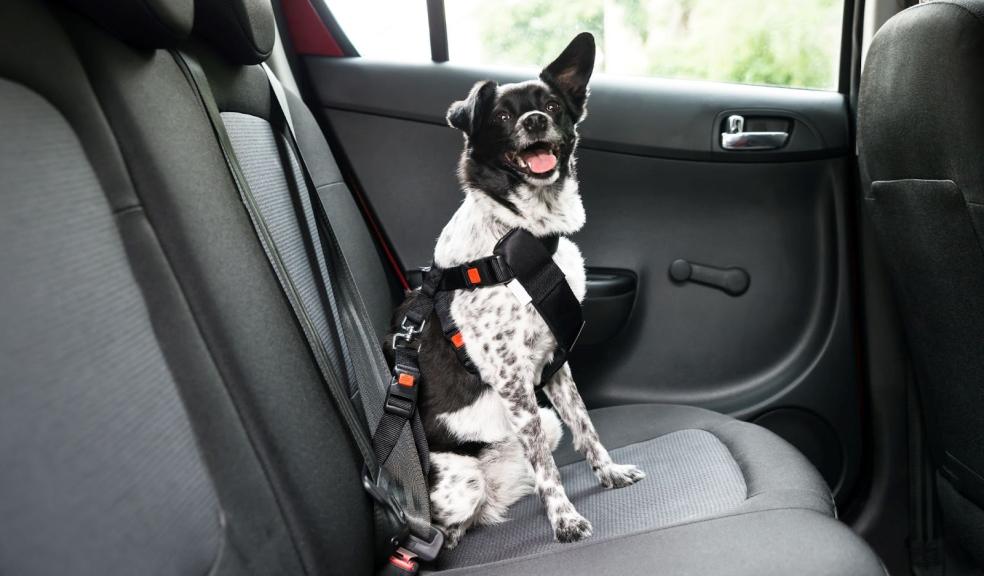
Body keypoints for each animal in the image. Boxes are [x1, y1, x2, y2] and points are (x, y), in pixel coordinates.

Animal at [384, 32, 644, 548]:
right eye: (502, 117)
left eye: (552, 105)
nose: (535, 120)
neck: (521, 232)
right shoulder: (511, 378)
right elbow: (547, 467)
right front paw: (563, 519)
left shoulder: (555, 365)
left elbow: (586, 427)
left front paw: (608, 473)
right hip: (464, 480)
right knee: (449, 525)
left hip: (541, 424)